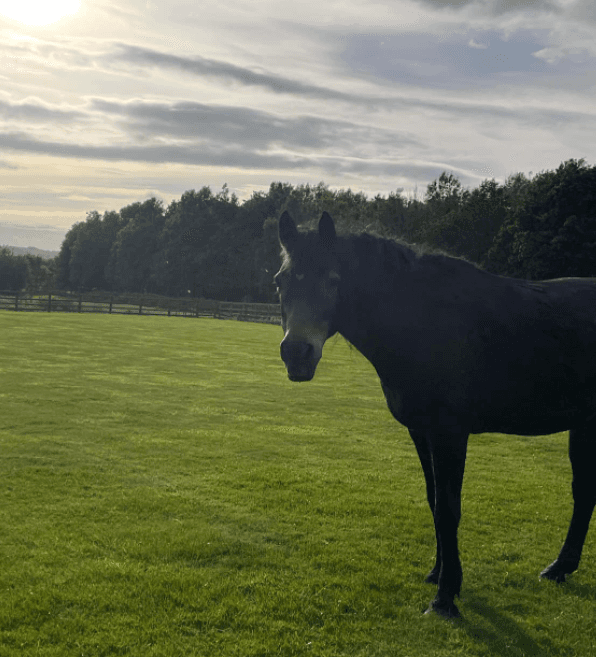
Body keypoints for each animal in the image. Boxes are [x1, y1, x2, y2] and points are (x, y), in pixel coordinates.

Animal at [275, 210, 596, 618]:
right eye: (280, 281)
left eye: (333, 280)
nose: (297, 354)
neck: (425, 322)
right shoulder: (421, 431)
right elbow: (433, 500)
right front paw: (437, 574)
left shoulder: (449, 433)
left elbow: (448, 509)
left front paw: (445, 597)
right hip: (584, 425)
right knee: (584, 493)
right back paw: (559, 568)